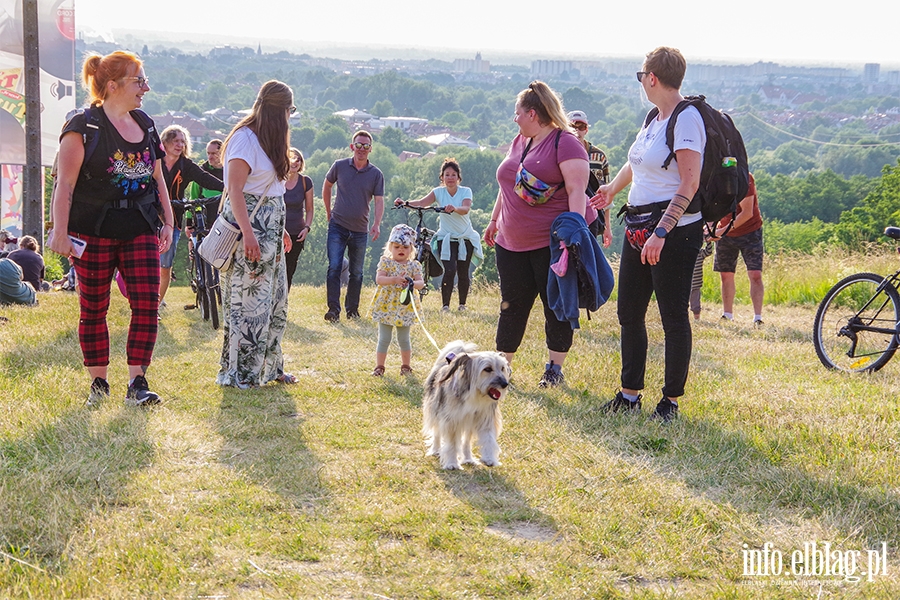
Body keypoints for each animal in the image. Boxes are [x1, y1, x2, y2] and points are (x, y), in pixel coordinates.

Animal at [420, 340, 506, 472]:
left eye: (502, 368)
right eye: (487, 369)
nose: (505, 384)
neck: (474, 396)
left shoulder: (485, 419)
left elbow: (488, 438)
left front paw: (489, 458)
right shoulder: (451, 421)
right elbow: (451, 444)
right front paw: (452, 463)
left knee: (466, 442)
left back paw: (468, 458)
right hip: (435, 411)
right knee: (437, 433)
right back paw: (435, 449)